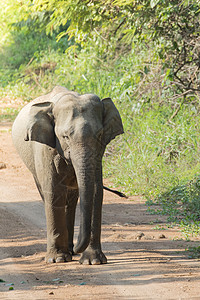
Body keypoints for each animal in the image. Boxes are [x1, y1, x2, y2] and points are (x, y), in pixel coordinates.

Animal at [11, 85, 123, 264]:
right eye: (65, 136)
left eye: (99, 135)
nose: (77, 248)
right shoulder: (45, 149)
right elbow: (54, 190)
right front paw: (57, 259)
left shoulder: (98, 153)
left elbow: (96, 190)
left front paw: (93, 261)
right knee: (48, 194)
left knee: (71, 199)